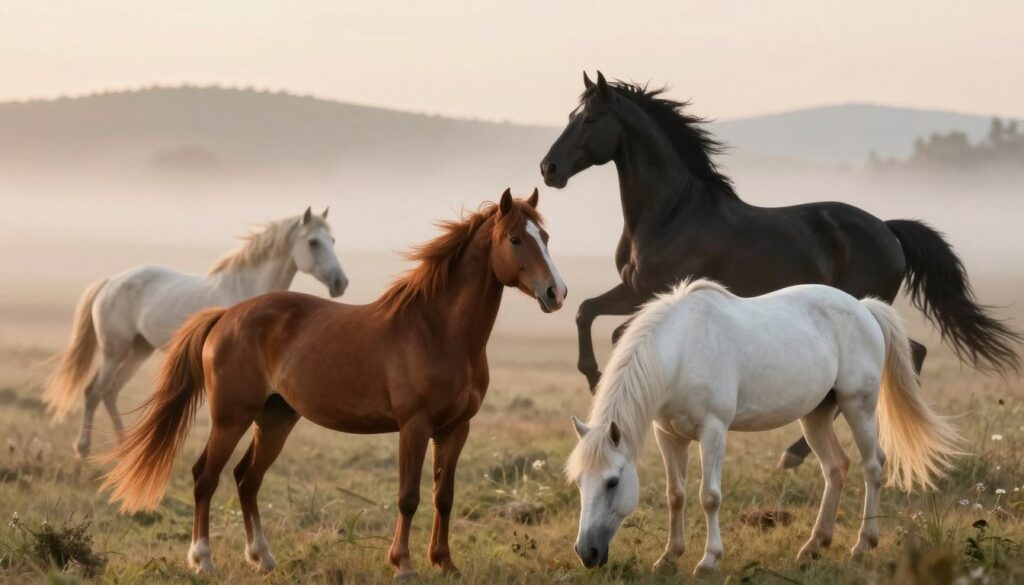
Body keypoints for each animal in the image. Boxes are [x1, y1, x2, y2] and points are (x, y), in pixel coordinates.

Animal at [43, 207, 347, 458]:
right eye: (313, 242)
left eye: (332, 241)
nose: (340, 283)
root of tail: (110, 282)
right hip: (113, 350)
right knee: (94, 391)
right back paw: (83, 449)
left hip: (140, 350)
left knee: (110, 392)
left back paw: (124, 447)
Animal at [99, 190, 567, 578]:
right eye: (516, 240)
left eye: (545, 235)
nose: (556, 292)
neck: (438, 331)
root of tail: (225, 315)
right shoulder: (414, 427)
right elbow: (409, 496)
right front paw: (403, 565)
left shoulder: (455, 429)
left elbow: (443, 496)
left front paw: (445, 563)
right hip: (231, 418)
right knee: (205, 478)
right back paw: (204, 560)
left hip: (275, 420)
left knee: (247, 479)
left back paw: (263, 558)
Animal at [540, 72, 1020, 469]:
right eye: (571, 115)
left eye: (589, 119)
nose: (549, 169)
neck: (672, 212)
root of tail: (887, 228)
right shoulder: (632, 289)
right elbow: (585, 311)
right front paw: (594, 378)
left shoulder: (657, 291)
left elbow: (615, 331)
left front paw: (600, 380)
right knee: (914, 352)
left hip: (863, 304)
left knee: (906, 355)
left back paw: (796, 453)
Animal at [566, 279, 962, 576]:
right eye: (579, 482)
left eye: (612, 482)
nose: (587, 553)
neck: (681, 350)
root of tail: (864, 308)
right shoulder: (669, 435)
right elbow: (675, 495)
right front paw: (669, 557)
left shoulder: (713, 430)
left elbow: (708, 496)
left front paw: (708, 560)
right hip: (816, 415)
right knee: (836, 468)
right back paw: (813, 546)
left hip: (858, 405)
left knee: (873, 467)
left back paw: (862, 545)